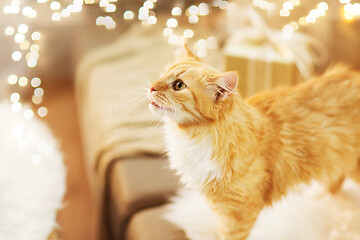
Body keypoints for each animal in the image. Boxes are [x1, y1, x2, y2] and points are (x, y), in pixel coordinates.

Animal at [147, 45, 360, 240]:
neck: (192, 137)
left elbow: (230, 237)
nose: (151, 87)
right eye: (162, 74)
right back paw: (319, 196)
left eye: (179, 85)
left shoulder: (239, 212)